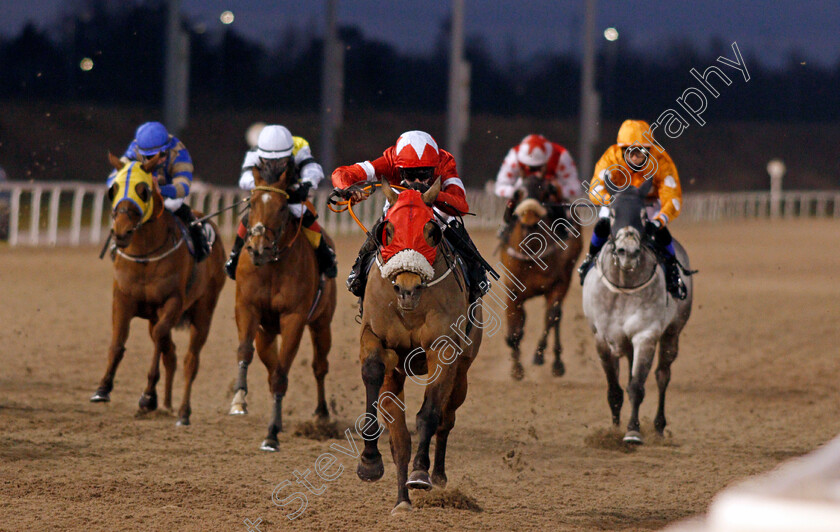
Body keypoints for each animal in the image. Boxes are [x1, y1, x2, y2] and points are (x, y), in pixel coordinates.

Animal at [91, 153, 226, 424]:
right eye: (113, 189)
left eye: (143, 190)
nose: (121, 232)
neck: (145, 256)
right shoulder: (122, 299)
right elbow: (118, 342)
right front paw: (103, 388)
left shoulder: (172, 302)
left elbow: (160, 339)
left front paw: (147, 396)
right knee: (170, 352)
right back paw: (166, 404)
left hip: (204, 310)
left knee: (190, 360)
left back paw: (183, 411)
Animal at [230, 164, 338, 450]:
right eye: (252, 202)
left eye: (281, 207)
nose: (258, 248)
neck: (271, 266)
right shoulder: (247, 307)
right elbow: (245, 351)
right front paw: (239, 400)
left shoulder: (294, 318)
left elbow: (281, 376)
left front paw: (271, 435)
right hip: (266, 333)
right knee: (270, 366)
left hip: (322, 323)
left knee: (320, 366)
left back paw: (322, 414)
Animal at [352, 180, 482, 516]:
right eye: (388, 229)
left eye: (431, 230)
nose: (406, 288)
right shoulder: (376, 338)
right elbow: (373, 373)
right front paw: (369, 462)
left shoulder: (443, 348)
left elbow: (430, 413)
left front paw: (421, 472)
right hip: (397, 373)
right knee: (399, 437)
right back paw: (402, 500)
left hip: (464, 368)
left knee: (447, 418)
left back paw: (437, 475)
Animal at [502, 177, 580, 380]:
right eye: (518, 192)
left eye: (546, 192)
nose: (529, 220)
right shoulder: (512, 289)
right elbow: (515, 326)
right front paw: (516, 369)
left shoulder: (558, 283)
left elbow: (551, 316)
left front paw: (539, 355)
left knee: (555, 316)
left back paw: (556, 362)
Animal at [580, 184, 692, 444]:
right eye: (612, 214)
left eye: (642, 216)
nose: (627, 252)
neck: (624, 285)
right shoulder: (603, 339)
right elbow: (615, 390)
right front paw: (613, 430)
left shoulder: (646, 335)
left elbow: (637, 386)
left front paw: (632, 431)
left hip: (673, 332)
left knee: (662, 375)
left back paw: (659, 427)